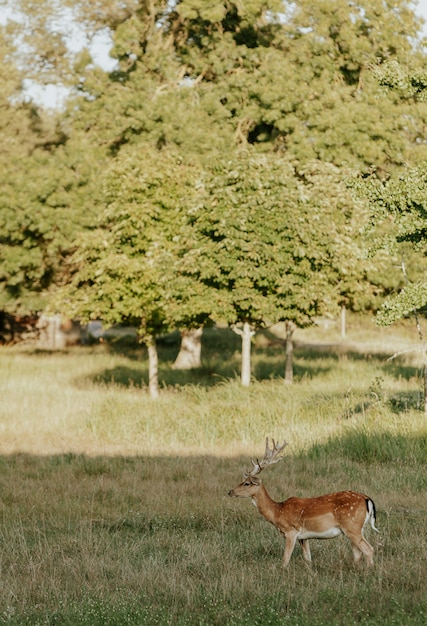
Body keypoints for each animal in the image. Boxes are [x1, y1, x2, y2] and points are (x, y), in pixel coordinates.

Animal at [229, 436, 380, 564]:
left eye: (247, 483)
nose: (230, 491)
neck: (277, 512)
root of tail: (367, 499)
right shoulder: (304, 537)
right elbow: (308, 559)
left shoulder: (291, 531)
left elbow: (285, 559)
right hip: (358, 528)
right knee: (358, 553)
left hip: (351, 526)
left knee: (369, 549)